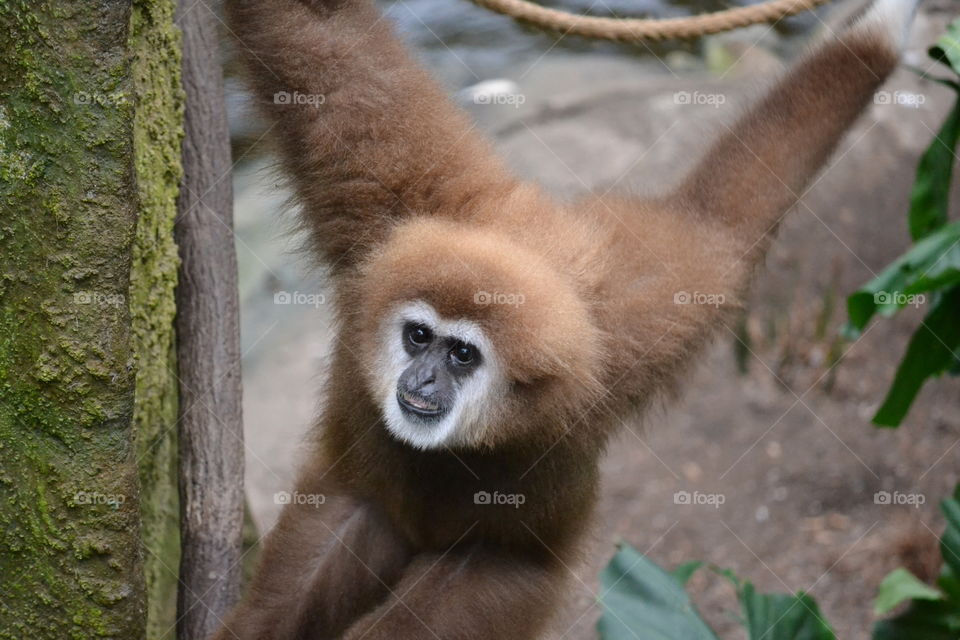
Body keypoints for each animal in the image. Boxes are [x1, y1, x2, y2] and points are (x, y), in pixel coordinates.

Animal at [213, 0, 919, 638]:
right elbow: (321, 37)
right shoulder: (389, 212)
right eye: (417, 336)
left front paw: (880, 33)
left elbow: (725, 219)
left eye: (462, 354)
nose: (421, 381)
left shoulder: (629, 326)